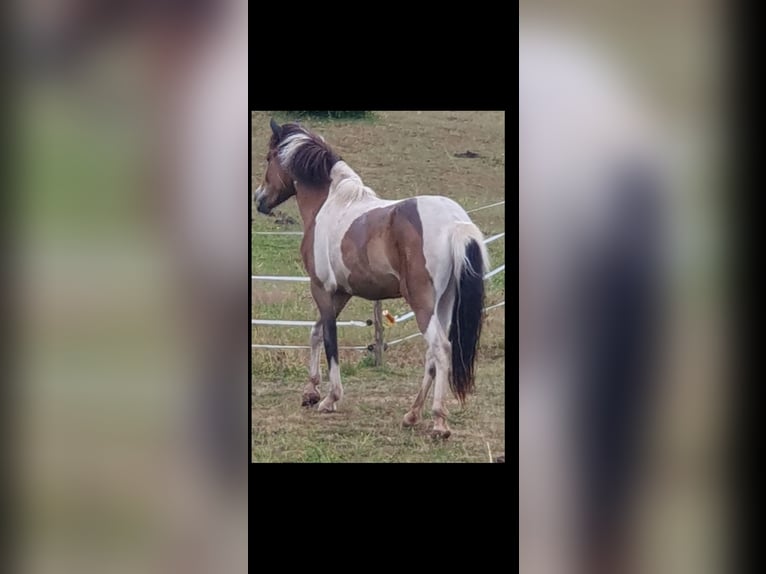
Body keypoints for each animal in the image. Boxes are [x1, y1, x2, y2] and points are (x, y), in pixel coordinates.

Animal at [254, 119, 490, 438]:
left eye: (269, 158)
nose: (259, 199)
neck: (331, 203)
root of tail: (455, 221)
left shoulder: (322, 288)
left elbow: (329, 339)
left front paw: (329, 398)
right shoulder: (342, 292)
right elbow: (315, 332)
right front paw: (310, 392)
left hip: (422, 303)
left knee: (440, 349)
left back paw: (439, 422)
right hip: (444, 303)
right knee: (432, 354)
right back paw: (412, 415)